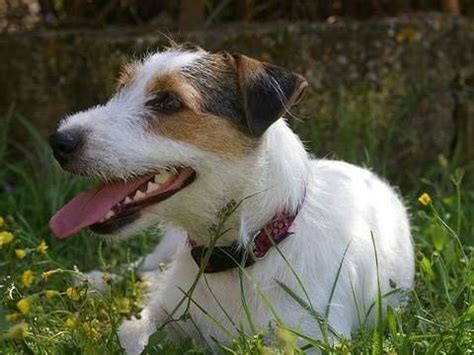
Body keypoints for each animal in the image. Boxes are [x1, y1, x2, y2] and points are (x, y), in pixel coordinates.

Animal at [49, 43, 414, 354]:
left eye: (168, 101)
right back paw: (94, 280)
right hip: (166, 247)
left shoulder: (314, 338)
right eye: (120, 89)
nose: (59, 141)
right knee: (142, 265)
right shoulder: (152, 319)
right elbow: (135, 336)